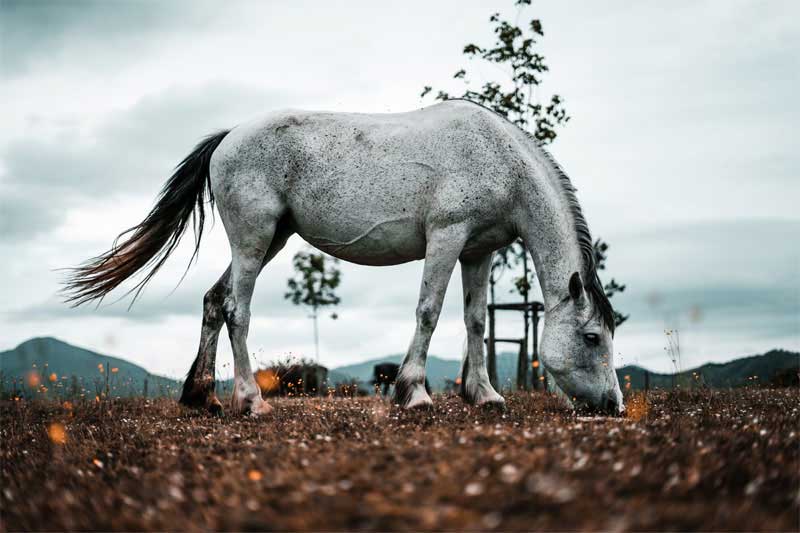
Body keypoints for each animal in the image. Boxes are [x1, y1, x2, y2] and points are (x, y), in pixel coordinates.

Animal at [64, 100, 624, 416]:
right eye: (592, 337)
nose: (615, 406)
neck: (497, 157)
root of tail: (228, 138)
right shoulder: (446, 238)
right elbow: (429, 312)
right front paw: (414, 394)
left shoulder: (477, 251)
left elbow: (475, 321)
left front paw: (484, 395)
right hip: (253, 239)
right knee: (235, 309)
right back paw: (251, 402)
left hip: (270, 241)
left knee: (213, 300)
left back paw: (202, 396)